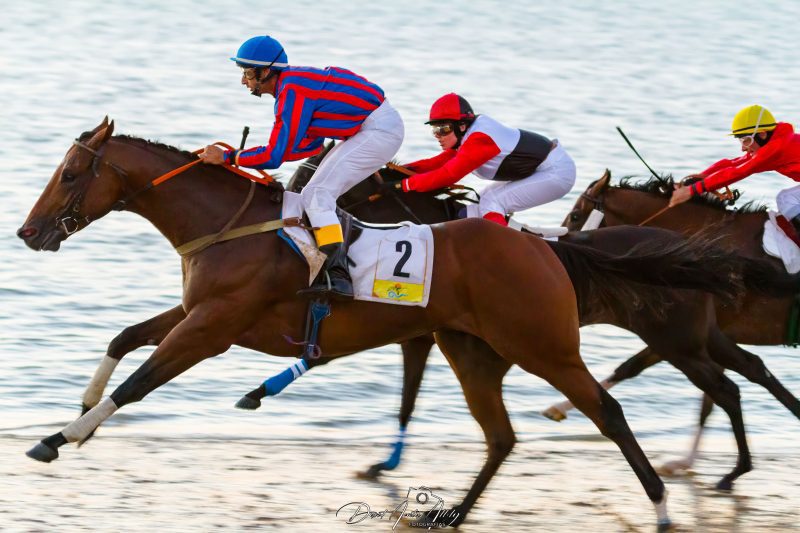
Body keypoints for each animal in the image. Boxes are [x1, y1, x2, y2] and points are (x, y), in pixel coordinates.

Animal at [17, 117, 734, 529]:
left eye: (72, 172)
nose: (28, 232)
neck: (229, 224)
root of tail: (545, 246)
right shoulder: (202, 310)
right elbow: (124, 338)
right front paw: (80, 409)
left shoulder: (213, 327)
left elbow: (141, 378)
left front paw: (59, 436)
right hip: (470, 349)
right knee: (500, 437)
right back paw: (450, 514)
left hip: (543, 346)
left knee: (606, 410)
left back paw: (662, 506)